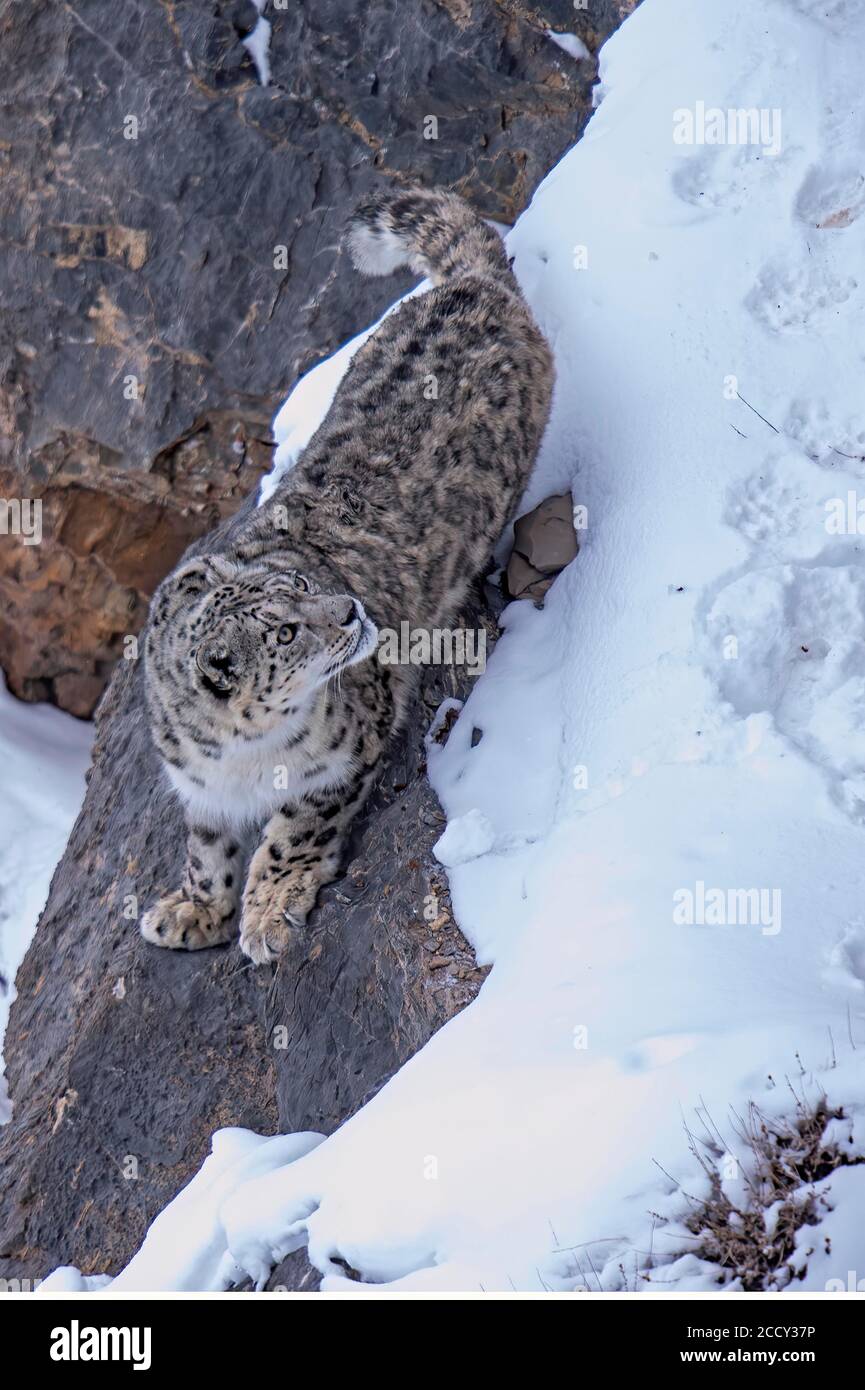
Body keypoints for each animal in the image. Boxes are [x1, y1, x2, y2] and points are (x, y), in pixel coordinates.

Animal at [139, 182, 553, 967]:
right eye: (286, 631)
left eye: (299, 586)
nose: (352, 613)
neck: (242, 758)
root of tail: (467, 287)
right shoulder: (199, 789)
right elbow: (205, 850)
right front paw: (192, 911)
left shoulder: (344, 758)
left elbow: (293, 832)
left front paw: (268, 912)